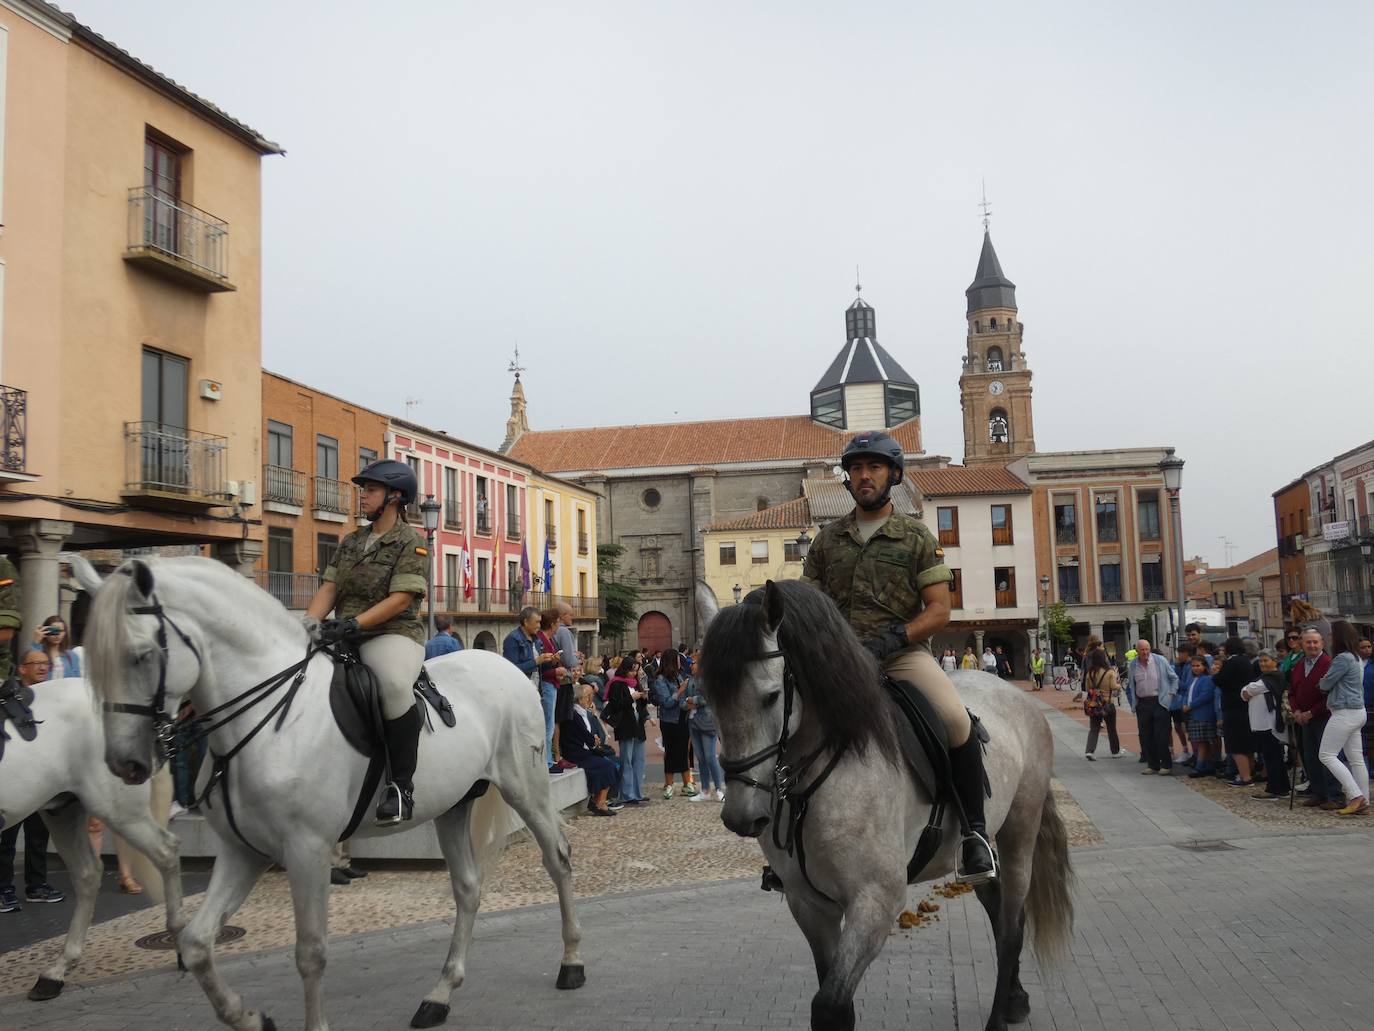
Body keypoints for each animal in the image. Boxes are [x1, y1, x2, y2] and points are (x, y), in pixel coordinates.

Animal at [697, 582, 1071, 1031]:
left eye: (771, 697)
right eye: (709, 697)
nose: (740, 814)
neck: (818, 779)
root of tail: (1014, 692)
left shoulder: (875, 901)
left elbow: (829, 1005)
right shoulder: (809, 905)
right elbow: (834, 998)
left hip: (1020, 831)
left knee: (1013, 925)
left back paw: (999, 1016)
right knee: (997, 909)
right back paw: (1015, 999)